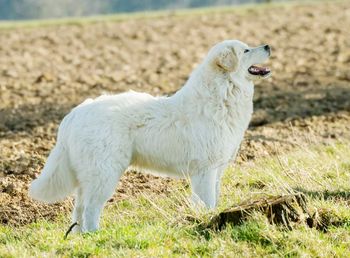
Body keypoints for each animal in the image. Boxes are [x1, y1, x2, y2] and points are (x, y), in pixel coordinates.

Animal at [29, 39, 270, 232]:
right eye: (246, 50)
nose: (268, 46)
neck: (223, 92)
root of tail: (76, 112)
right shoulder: (205, 170)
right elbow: (207, 201)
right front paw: (207, 219)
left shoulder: (217, 169)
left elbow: (214, 199)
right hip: (104, 173)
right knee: (90, 208)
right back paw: (95, 235)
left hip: (88, 175)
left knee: (78, 209)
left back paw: (80, 238)